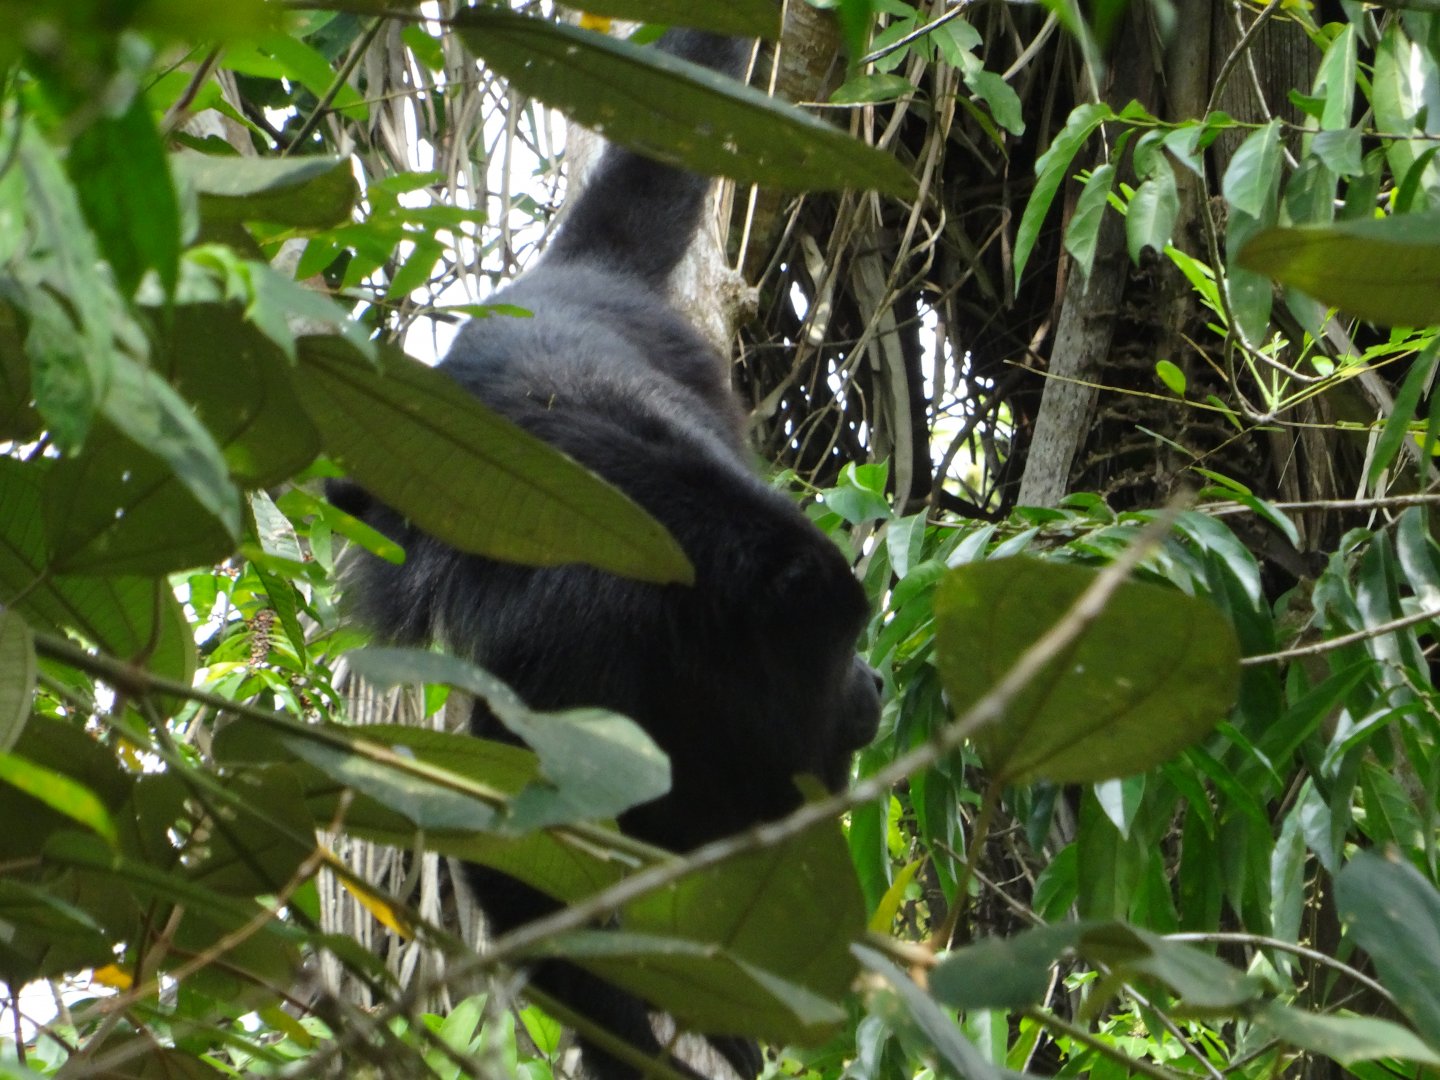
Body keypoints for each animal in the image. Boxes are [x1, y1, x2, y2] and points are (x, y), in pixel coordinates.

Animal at [328, 26, 882, 1080]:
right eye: (839, 652)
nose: (872, 683)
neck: (702, 597)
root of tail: (570, 277)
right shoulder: (576, 642)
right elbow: (517, 829)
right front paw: (641, 1041)